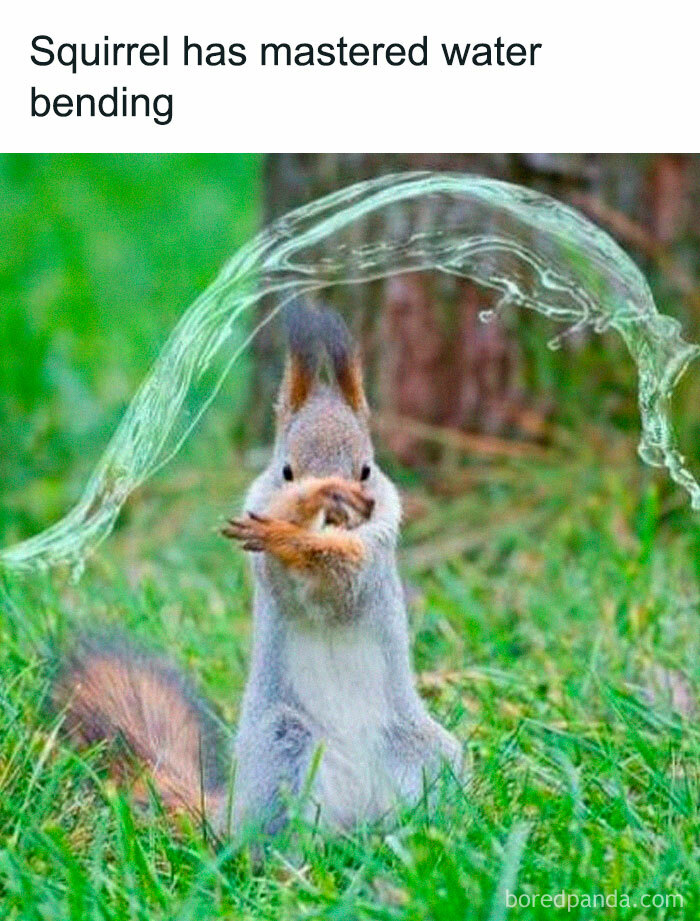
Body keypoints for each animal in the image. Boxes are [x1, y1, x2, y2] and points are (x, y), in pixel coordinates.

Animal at [52, 301, 462, 839]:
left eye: (366, 470)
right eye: (285, 470)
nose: (337, 512)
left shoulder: (376, 555)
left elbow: (345, 581)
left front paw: (303, 537)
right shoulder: (267, 559)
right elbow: (285, 574)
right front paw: (298, 514)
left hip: (427, 757)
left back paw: (417, 835)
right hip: (283, 745)